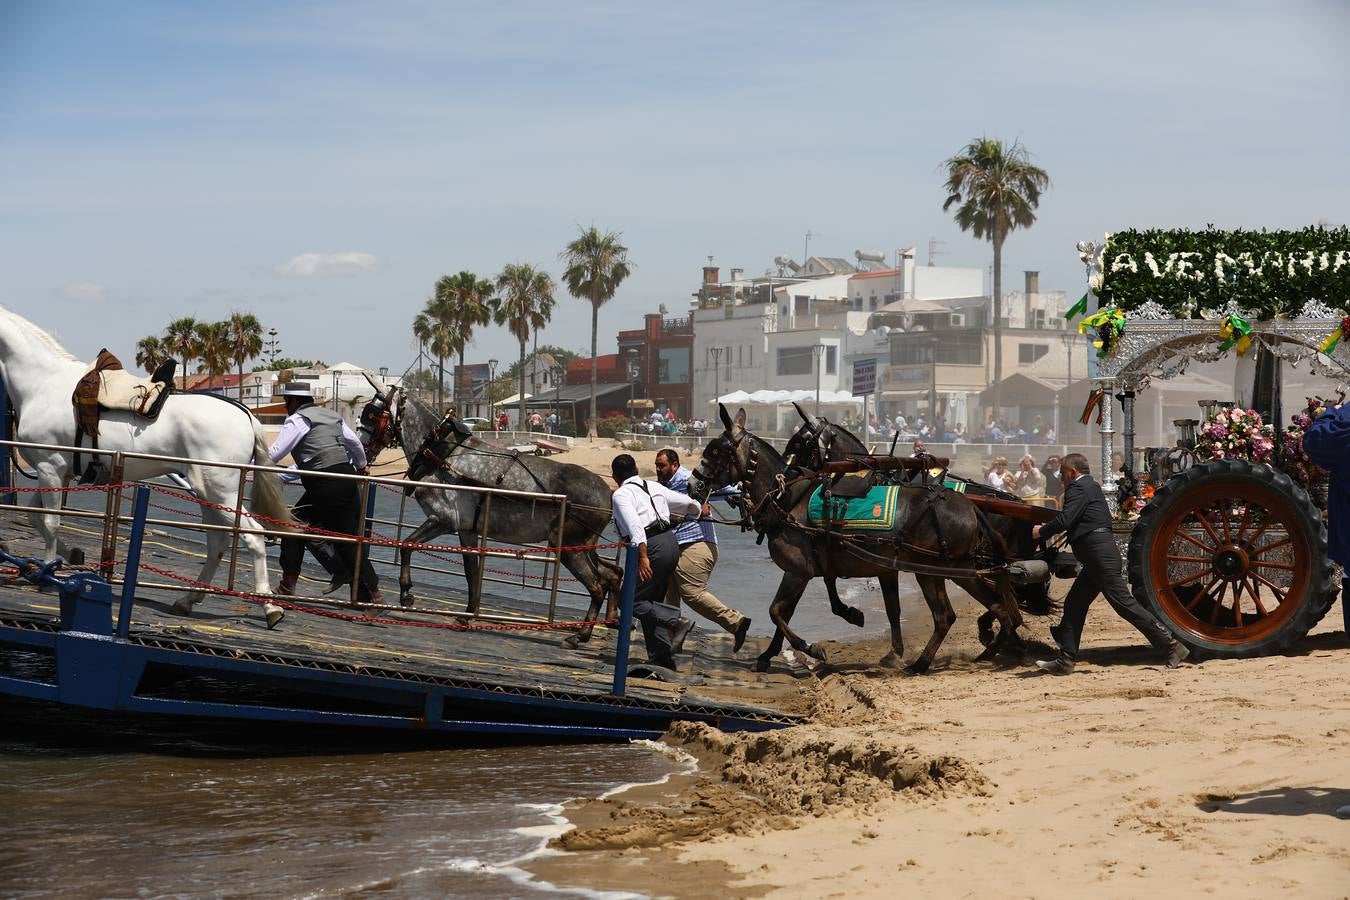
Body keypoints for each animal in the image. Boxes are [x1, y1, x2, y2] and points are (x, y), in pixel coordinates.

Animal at [0, 306, 292, 631]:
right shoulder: (55, 472)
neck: (43, 384)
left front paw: (47, 573)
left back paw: (269, 607)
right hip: (207, 492)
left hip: (221, 492)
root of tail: (246, 414)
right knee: (217, 542)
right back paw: (187, 600)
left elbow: (50, 522)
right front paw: (69, 556)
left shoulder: (49, 467)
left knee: (253, 536)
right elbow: (33, 515)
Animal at [394, 396, 618, 644]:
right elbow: (469, 570)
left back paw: (581, 635)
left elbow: (409, 545)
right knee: (612, 575)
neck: (444, 455)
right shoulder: (465, 528)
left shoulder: (442, 520)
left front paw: (407, 594)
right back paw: (606, 622)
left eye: (373, 410)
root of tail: (607, 495)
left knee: (597, 586)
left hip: (568, 545)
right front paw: (465, 615)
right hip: (585, 543)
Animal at [691, 404, 1015, 671]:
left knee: (955, 614)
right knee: (988, 607)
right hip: (946, 570)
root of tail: (971, 506)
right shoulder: (816, 570)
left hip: (941, 569)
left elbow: (776, 612)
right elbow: (788, 611)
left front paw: (810, 648)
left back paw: (931, 662)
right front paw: (769, 653)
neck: (789, 498)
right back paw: (1000, 646)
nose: (694, 484)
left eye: (716, 451)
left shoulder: (798, 571)